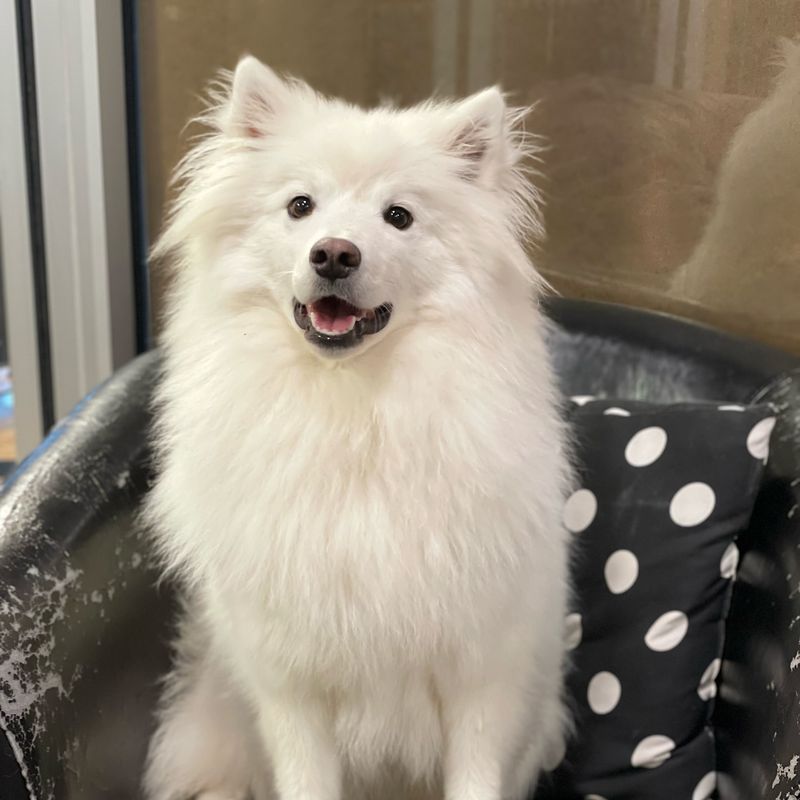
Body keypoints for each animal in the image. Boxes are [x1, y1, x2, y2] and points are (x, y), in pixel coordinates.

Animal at [142, 56, 568, 800]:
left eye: (398, 216)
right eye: (299, 206)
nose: (334, 254)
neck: (354, 407)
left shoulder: (482, 682)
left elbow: (475, 775)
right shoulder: (290, 688)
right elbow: (305, 777)